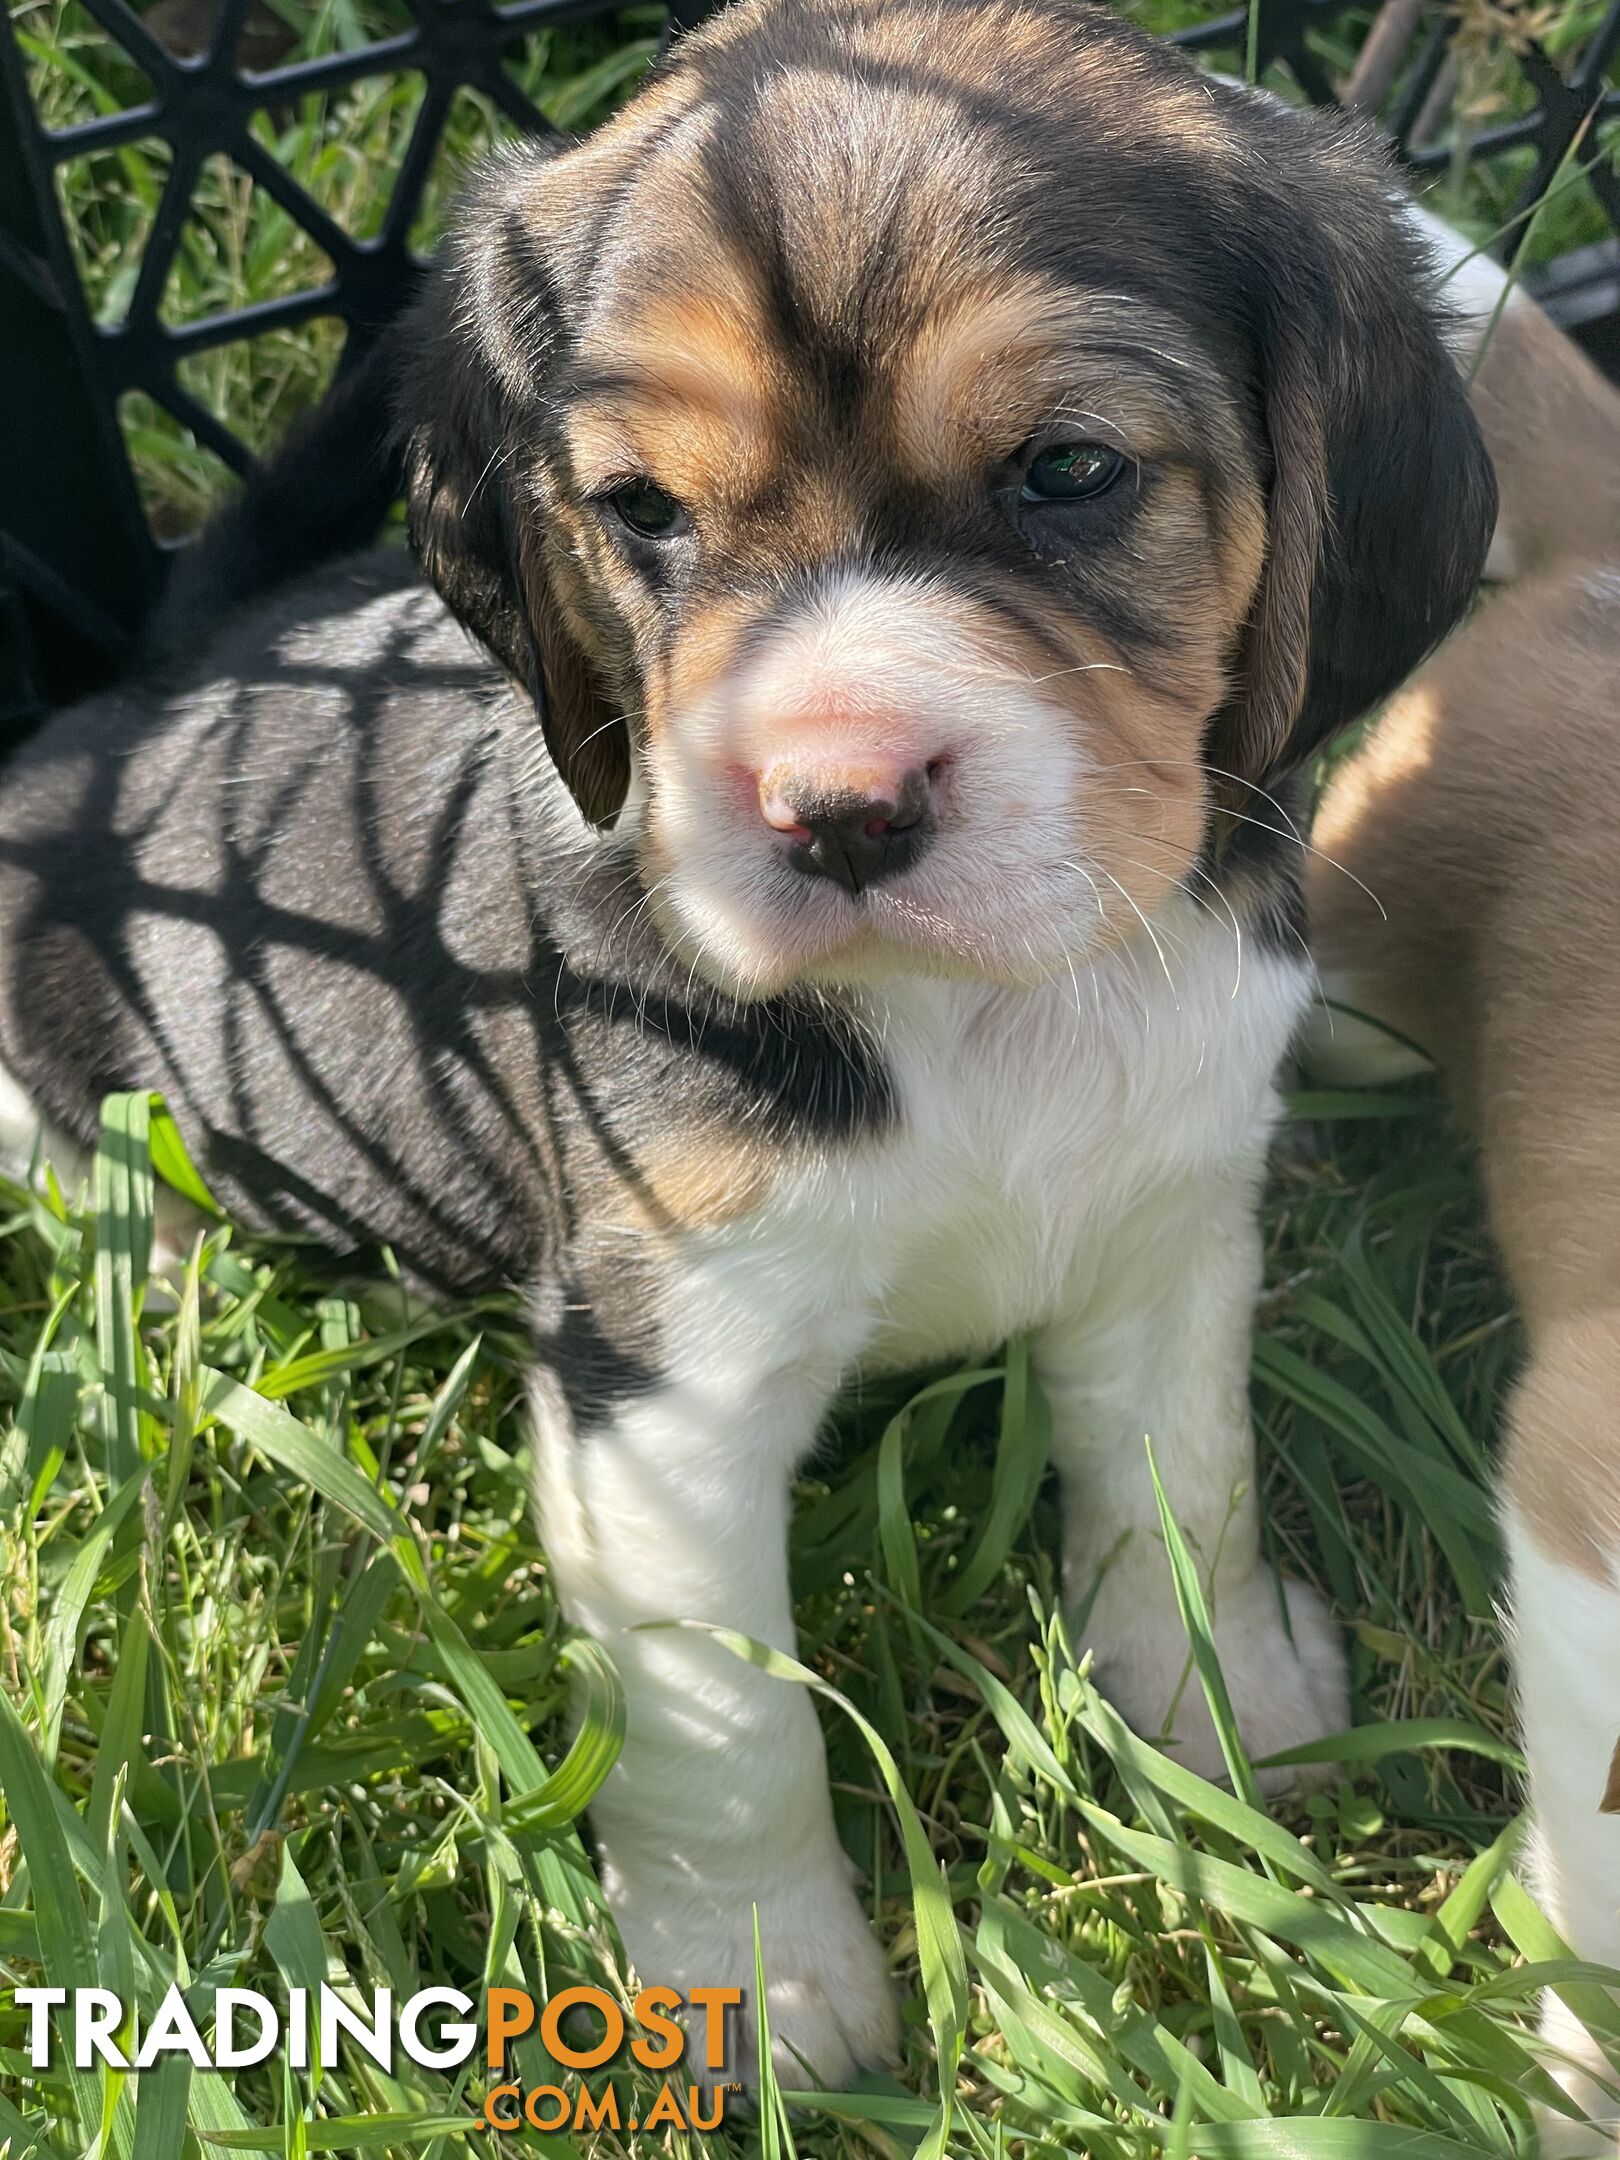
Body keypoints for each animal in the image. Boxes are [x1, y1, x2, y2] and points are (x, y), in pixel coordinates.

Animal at [0, 0, 1494, 2090]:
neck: (979, 1007)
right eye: (641, 513)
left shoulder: (1176, 1222)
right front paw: (773, 1994)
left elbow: (1179, 1482)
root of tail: (129, 700)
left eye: (1068, 469)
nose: (837, 808)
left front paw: (1229, 1718)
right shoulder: (663, 1387)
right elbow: (728, 1739)